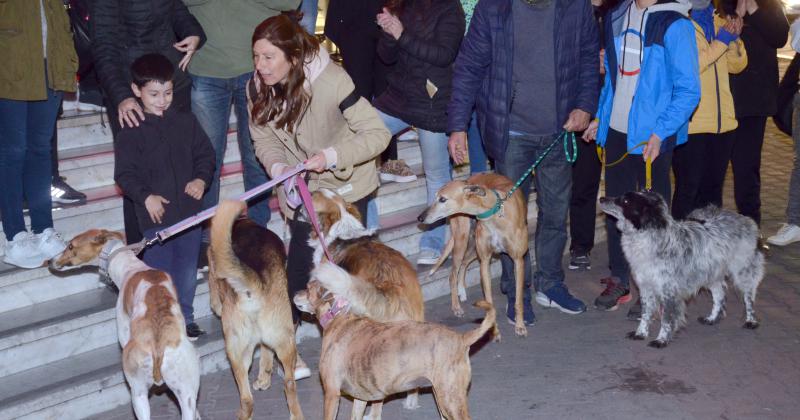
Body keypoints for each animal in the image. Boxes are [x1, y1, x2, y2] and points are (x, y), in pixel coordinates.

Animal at [50, 230, 199, 420]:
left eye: (70, 246)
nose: (49, 261)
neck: (131, 266)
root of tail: (157, 346)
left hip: (137, 393)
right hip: (186, 393)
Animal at [206, 201, 304, 420]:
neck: (242, 224)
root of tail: (255, 285)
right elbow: (266, 355)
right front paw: (264, 380)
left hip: (235, 350)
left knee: (247, 398)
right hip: (283, 343)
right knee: (287, 385)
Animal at [294, 262, 494, 420]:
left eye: (308, 288)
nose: (294, 292)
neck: (338, 316)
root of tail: (461, 338)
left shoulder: (331, 393)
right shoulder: (361, 398)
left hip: (450, 400)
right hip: (443, 397)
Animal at [416, 173, 528, 338]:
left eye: (442, 199)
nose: (420, 218)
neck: (494, 211)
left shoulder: (518, 260)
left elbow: (519, 299)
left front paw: (520, 326)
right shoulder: (485, 261)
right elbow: (489, 302)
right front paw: (494, 329)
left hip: (473, 248)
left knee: (463, 264)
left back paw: (461, 291)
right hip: (462, 241)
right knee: (453, 274)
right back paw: (456, 306)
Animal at [600, 190, 764, 348]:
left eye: (626, 201)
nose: (601, 198)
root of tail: (744, 219)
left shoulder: (669, 292)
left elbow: (666, 319)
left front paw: (661, 340)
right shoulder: (646, 287)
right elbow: (646, 314)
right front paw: (640, 333)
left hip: (742, 272)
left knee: (748, 298)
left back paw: (751, 321)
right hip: (710, 273)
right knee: (720, 295)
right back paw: (712, 318)